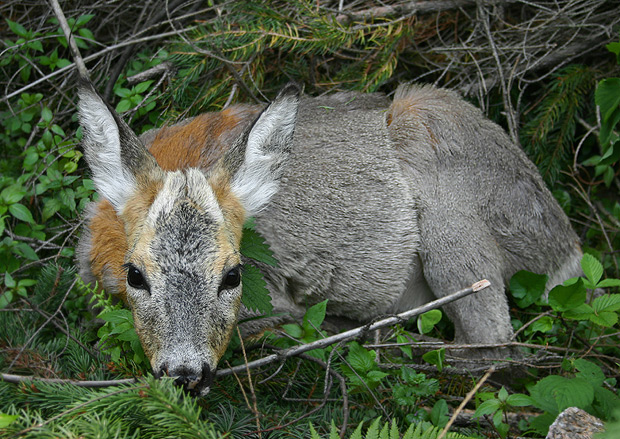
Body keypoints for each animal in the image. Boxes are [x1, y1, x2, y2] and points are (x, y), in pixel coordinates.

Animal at [76, 81, 580, 396]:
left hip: (439, 156)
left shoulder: (270, 299)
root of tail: (569, 251)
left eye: (234, 275)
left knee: (497, 349)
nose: (185, 373)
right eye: (135, 275)